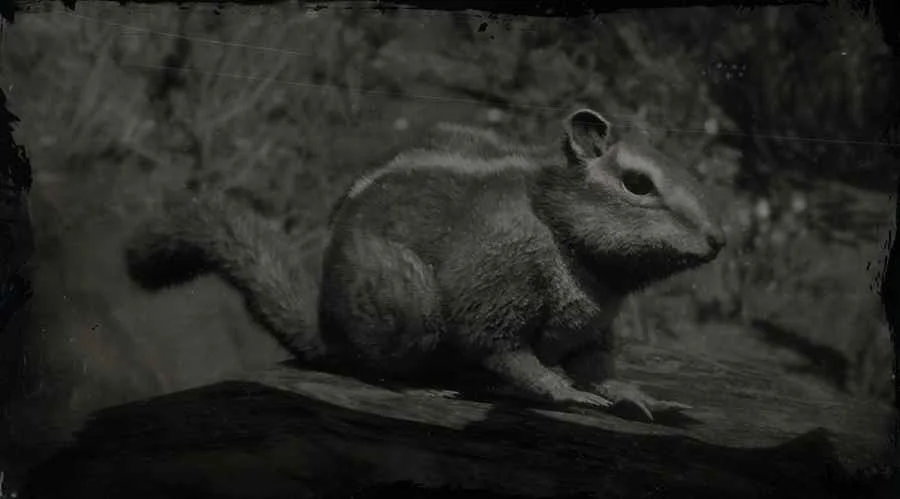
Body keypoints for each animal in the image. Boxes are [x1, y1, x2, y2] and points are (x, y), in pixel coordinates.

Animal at [125, 107, 726, 422]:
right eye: (638, 184)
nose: (718, 239)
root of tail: (324, 327)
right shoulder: (500, 278)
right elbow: (505, 349)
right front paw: (563, 393)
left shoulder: (596, 329)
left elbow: (600, 368)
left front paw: (640, 396)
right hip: (408, 304)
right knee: (374, 365)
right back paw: (422, 387)